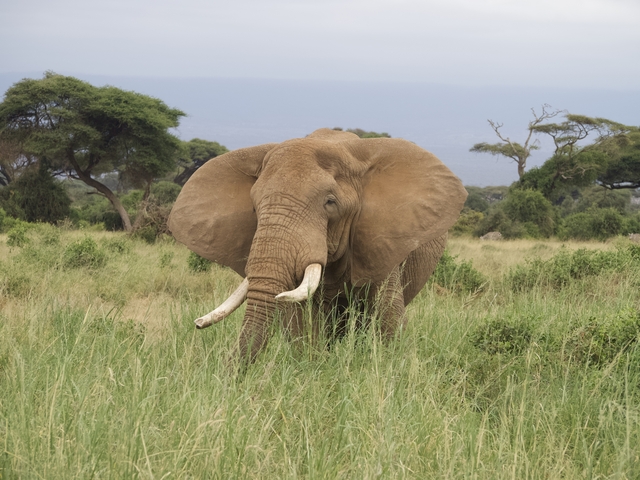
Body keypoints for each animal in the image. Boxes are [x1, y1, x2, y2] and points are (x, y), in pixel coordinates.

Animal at [168, 128, 467, 363]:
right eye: (253, 207)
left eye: (330, 202)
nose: (197, 324)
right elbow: (299, 320)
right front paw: (311, 366)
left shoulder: (382, 239)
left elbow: (389, 314)